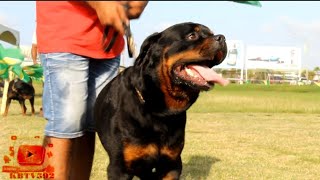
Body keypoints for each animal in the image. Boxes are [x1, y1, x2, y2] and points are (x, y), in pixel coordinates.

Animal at [94, 22, 229, 180]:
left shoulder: (171, 164)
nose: (222, 38)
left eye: (211, 34)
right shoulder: (120, 168)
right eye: (192, 36)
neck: (158, 111)